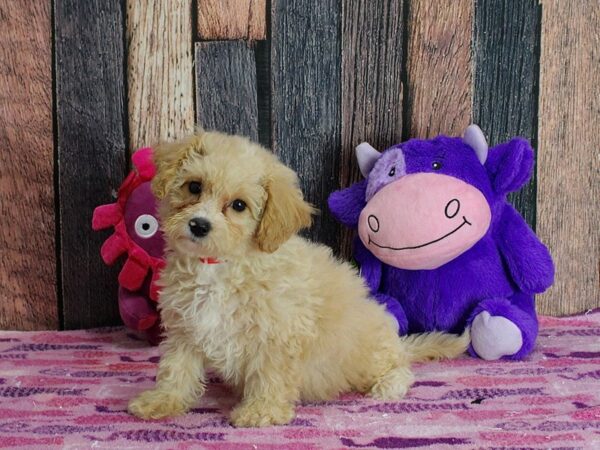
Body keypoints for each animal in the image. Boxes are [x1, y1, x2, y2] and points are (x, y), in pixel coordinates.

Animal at [127, 130, 468, 426]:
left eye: (238, 206)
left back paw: (389, 384)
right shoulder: (186, 327)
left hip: (370, 352)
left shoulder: (276, 334)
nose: (199, 225)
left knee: (399, 366)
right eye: (194, 187)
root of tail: (397, 340)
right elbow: (176, 368)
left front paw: (261, 411)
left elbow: (270, 374)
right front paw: (162, 400)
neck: (219, 264)